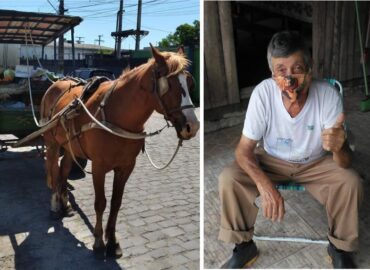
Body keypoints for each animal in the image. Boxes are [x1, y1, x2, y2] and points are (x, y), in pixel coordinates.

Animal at [39, 46, 199, 258]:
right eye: (170, 84)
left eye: (190, 83)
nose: (193, 126)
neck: (117, 114)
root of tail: (56, 83)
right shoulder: (99, 167)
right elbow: (101, 203)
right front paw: (99, 241)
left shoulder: (126, 167)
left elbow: (116, 203)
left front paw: (113, 242)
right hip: (52, 143)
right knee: (53, 170)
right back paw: (55, 206)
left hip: (69, 145)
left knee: (64, 170)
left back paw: (65, 205)